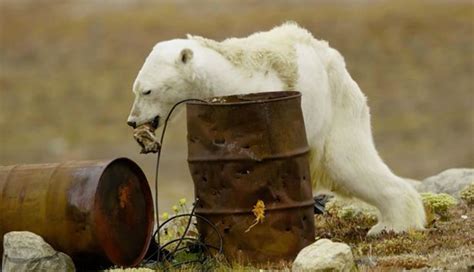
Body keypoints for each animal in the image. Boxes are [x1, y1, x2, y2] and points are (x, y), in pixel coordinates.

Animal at [126, 22, 426, 235]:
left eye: (147, 90)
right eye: (135, 89)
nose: (132, 121)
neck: (224, 77)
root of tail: (335, 61)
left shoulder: (260, 93)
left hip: (335, 112)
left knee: (349, 164)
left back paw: (393, 224)